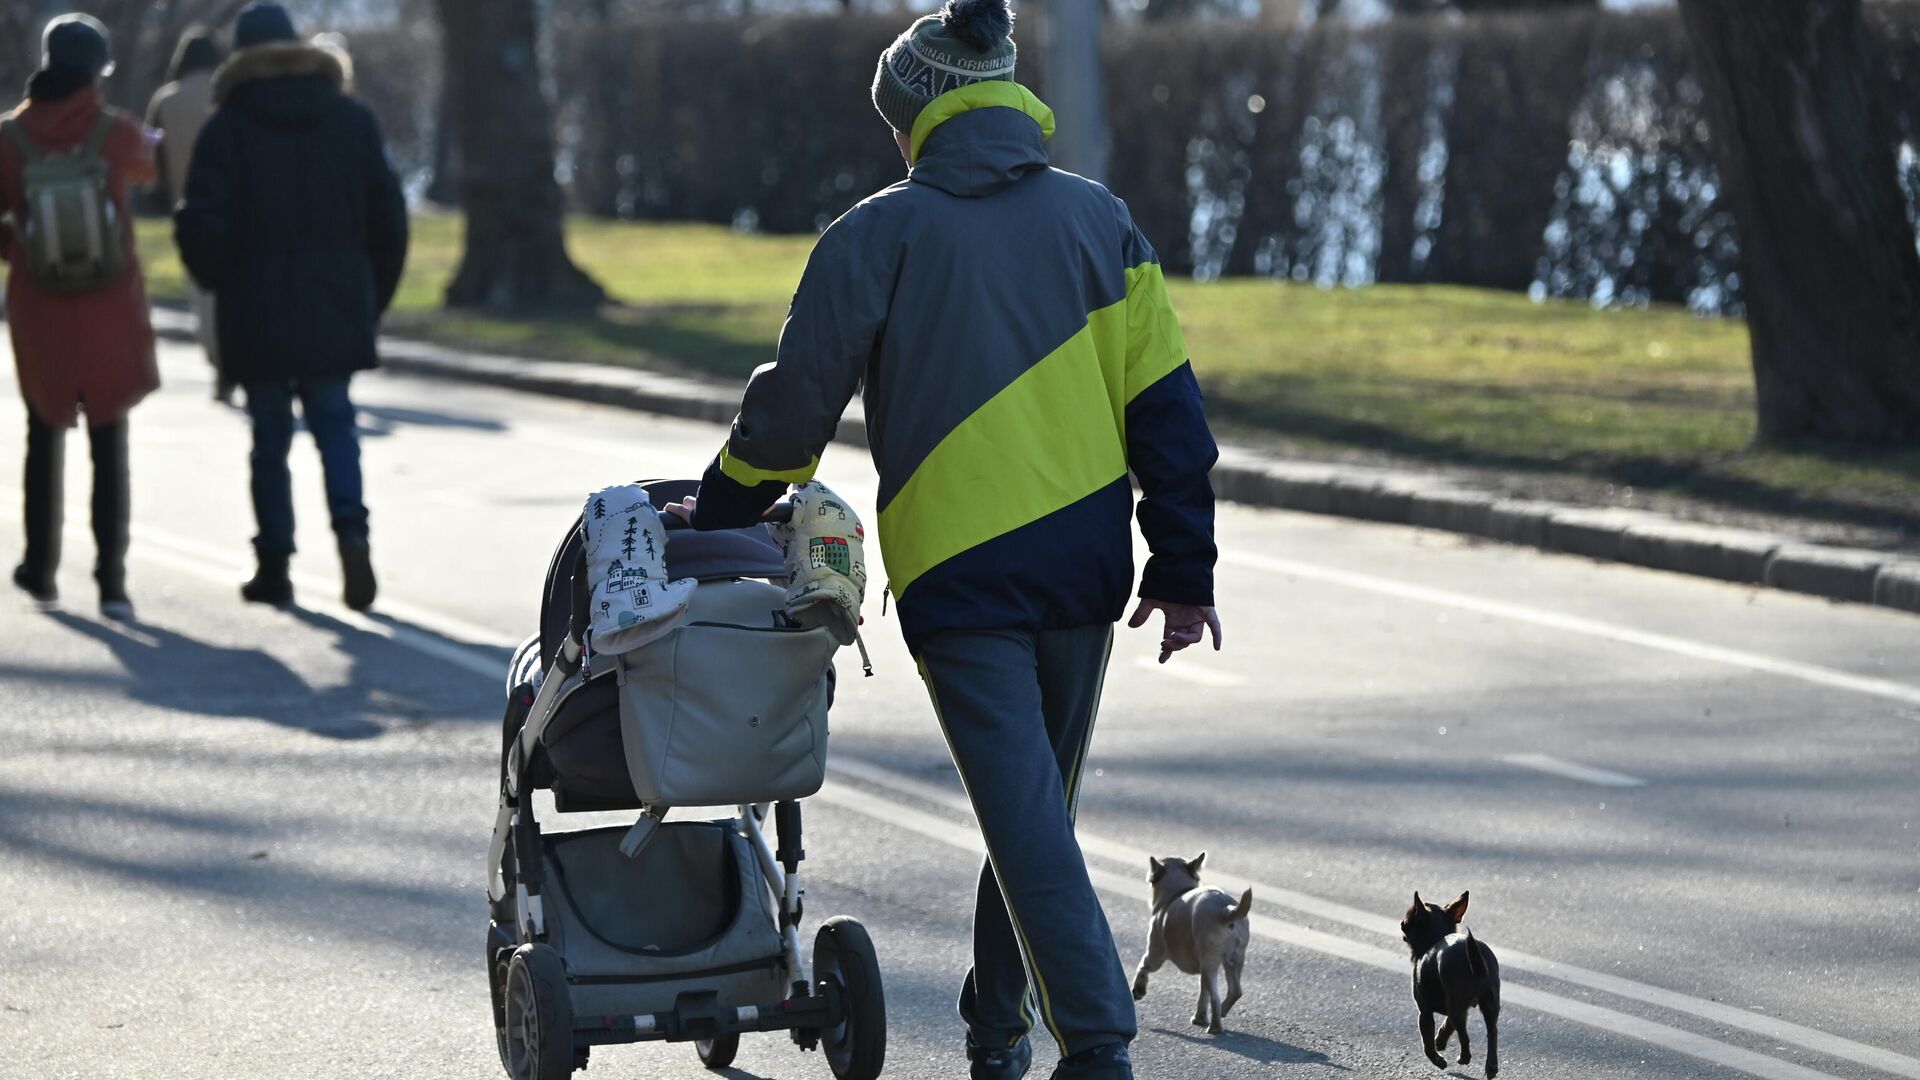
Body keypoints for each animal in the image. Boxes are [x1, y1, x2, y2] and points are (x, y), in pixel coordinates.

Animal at [1128, 849, 1251, 1037]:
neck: (1177, 892)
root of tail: (1227, 911)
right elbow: (1203, 994)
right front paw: (1199, 1017)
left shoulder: (1154, 953)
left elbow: (1143, 967)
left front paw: (1138, 989)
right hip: (1234, 960)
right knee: (1234, 991)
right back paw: (1222, 1012)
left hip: (1210, 963)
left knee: (1216, 997)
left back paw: (1215, 1027)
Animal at [1397, 887, 1497, 1068]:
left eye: (1405, 923)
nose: (1400, 923)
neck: (1435, 938)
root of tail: (1474, 959)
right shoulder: (1458, 1007)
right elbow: (1447, 1025)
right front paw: (1440, 1042)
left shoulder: (1425, 1012)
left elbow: (1427, 1043)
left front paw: (1437, 1059)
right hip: (1488, 1004)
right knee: (1492, 1032)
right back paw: (1491, 1067)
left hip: (1458, 1007)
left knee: (1464, 1036)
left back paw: (1464, 1058)